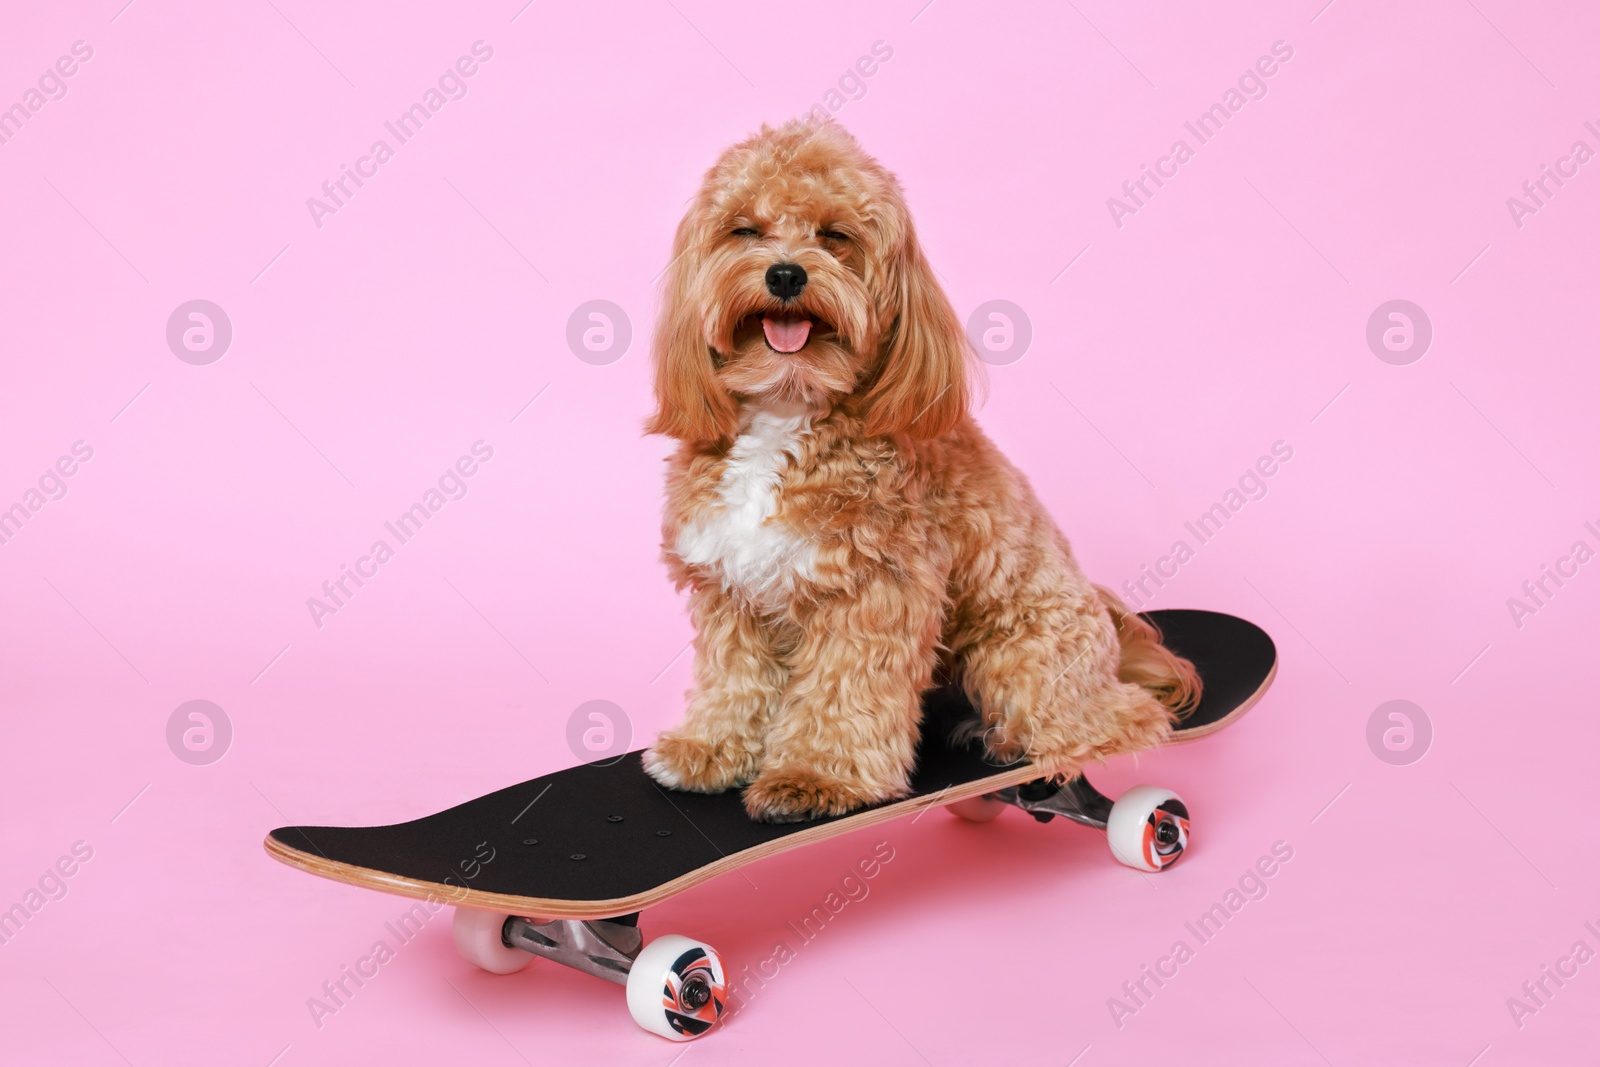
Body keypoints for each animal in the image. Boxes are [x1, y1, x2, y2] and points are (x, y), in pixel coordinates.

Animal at [636, 120, 1203, 825]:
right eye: (744, 230)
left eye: (835, 235)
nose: (787, 273)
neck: (786, 407)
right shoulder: (731, 590)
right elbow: (734, 681)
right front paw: (708, 750)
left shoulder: (873, 592)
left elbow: (844, 694)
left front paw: (814, 777)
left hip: (1024, 654)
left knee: (1114, 723)